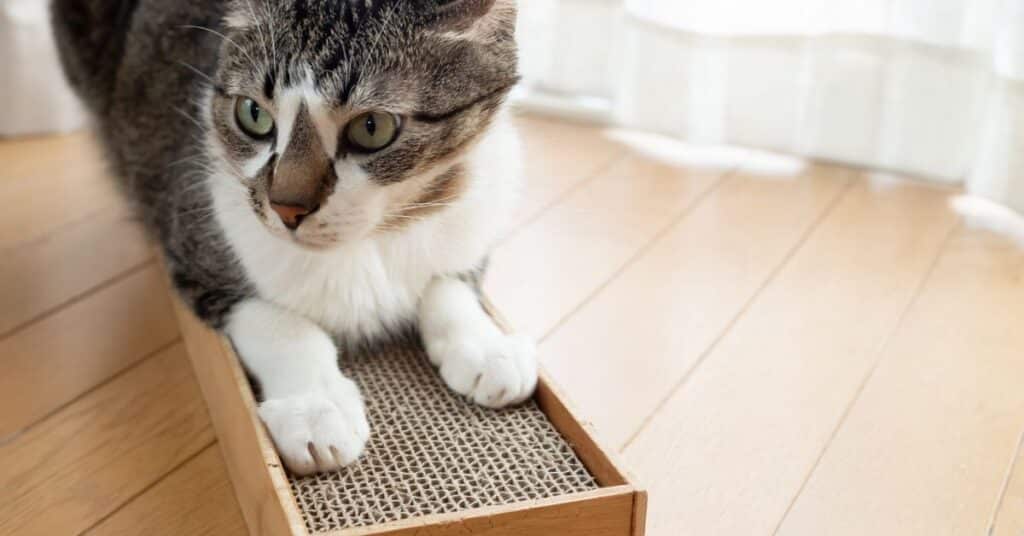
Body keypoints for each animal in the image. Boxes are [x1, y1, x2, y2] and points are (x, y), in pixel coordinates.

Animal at [51, 0, 540, 477]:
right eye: (253, 114)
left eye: (372, 127)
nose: (286, 208)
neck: (366, 243)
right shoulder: (196, 239)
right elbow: (280, 323)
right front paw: (316, 409)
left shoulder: (477, 207)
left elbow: (450, 280)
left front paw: (487, 349)